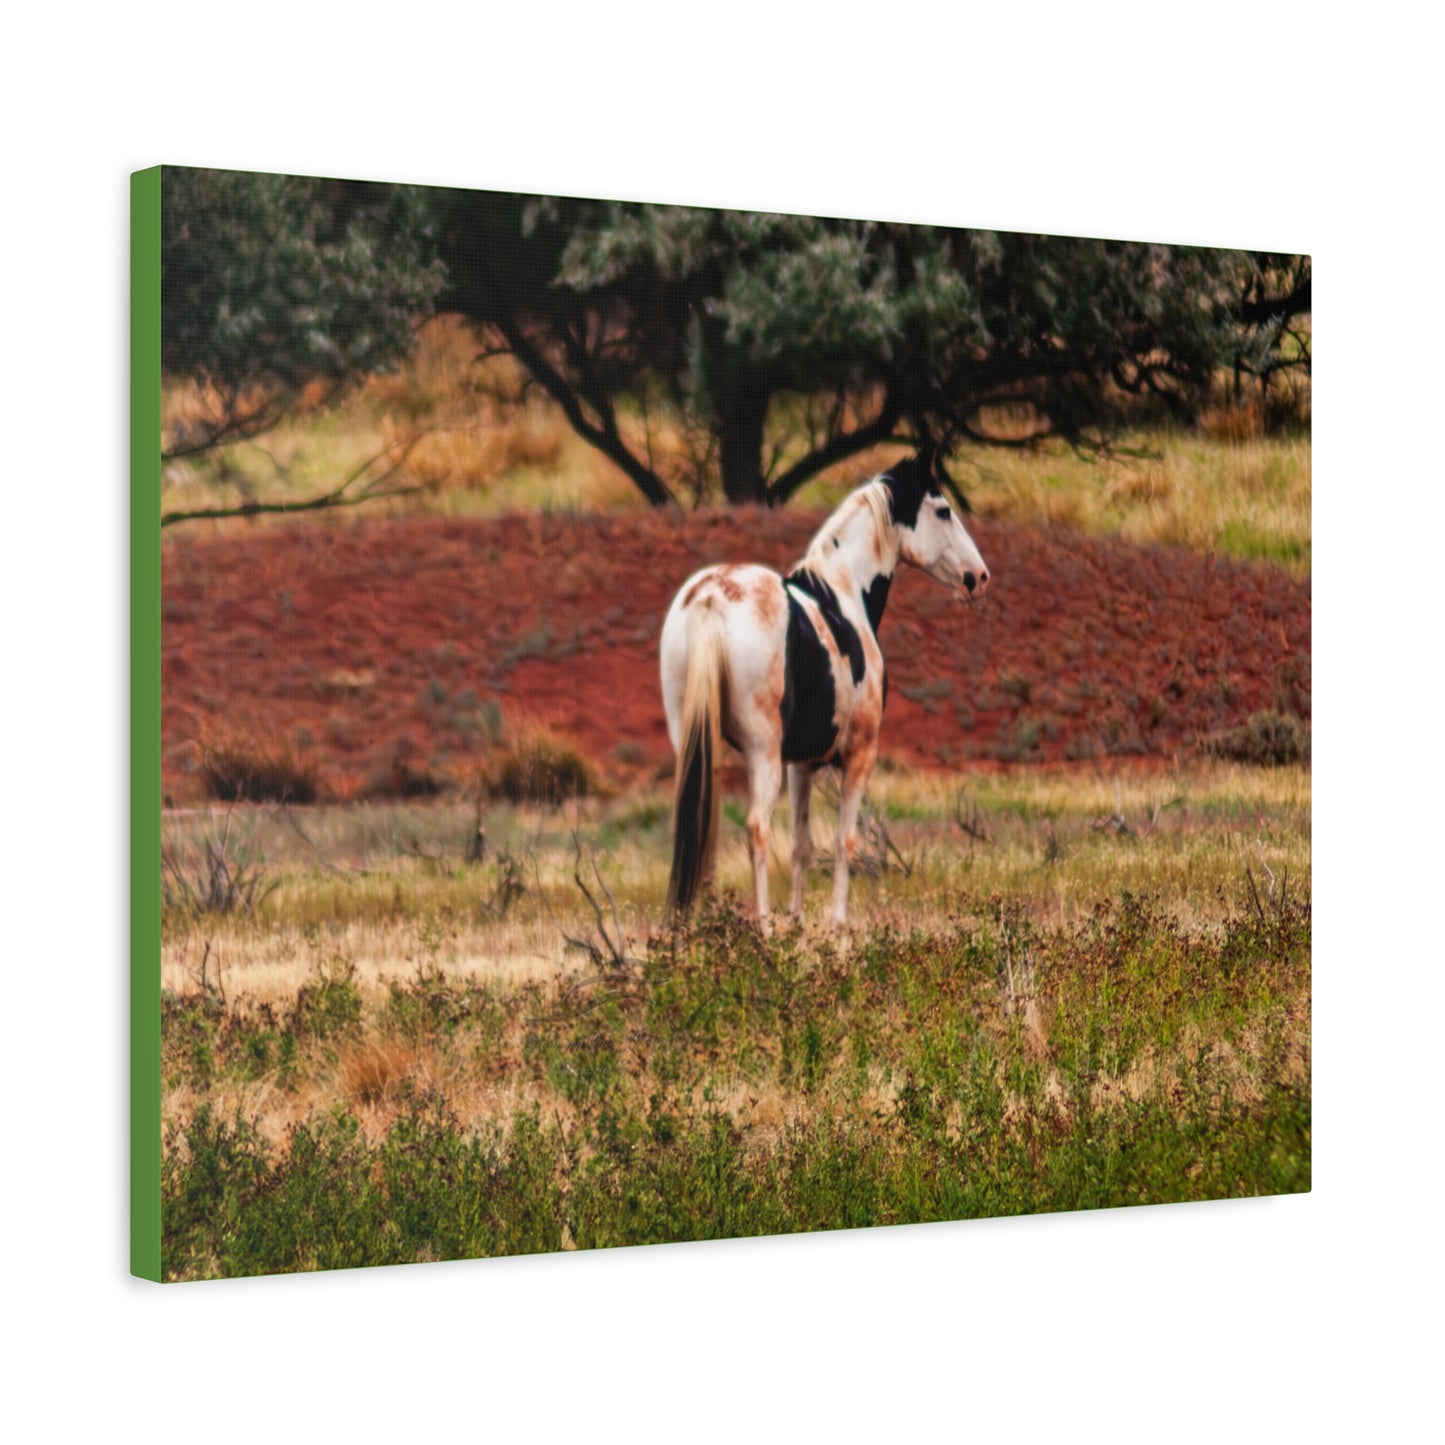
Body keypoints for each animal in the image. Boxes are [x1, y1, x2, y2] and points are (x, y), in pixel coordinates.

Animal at [659, 447, 991, 925]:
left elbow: (801, 845)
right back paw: (763, 926)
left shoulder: (801, 764)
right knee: (757, 828)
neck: (843, 592)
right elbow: (843, 841)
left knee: (703, 822)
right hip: (761, 751)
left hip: (696, 740)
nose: (979, 577)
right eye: (943, 510)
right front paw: (837, 924)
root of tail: (710, 598)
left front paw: (798, 922)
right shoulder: (858, 756)